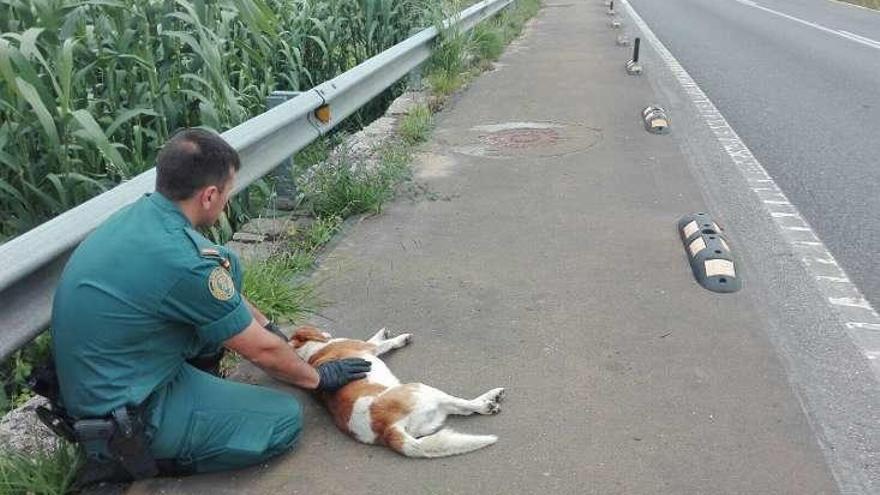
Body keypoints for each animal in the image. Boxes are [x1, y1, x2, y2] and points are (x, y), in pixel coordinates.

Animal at [292, 328, 506, 460]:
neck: (308, 353)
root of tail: (388, 429)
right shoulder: (369, 347)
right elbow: (383, 343)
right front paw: (397, 338)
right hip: (422, 389)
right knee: (466, 406)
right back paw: (488, 401)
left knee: (460, 409)